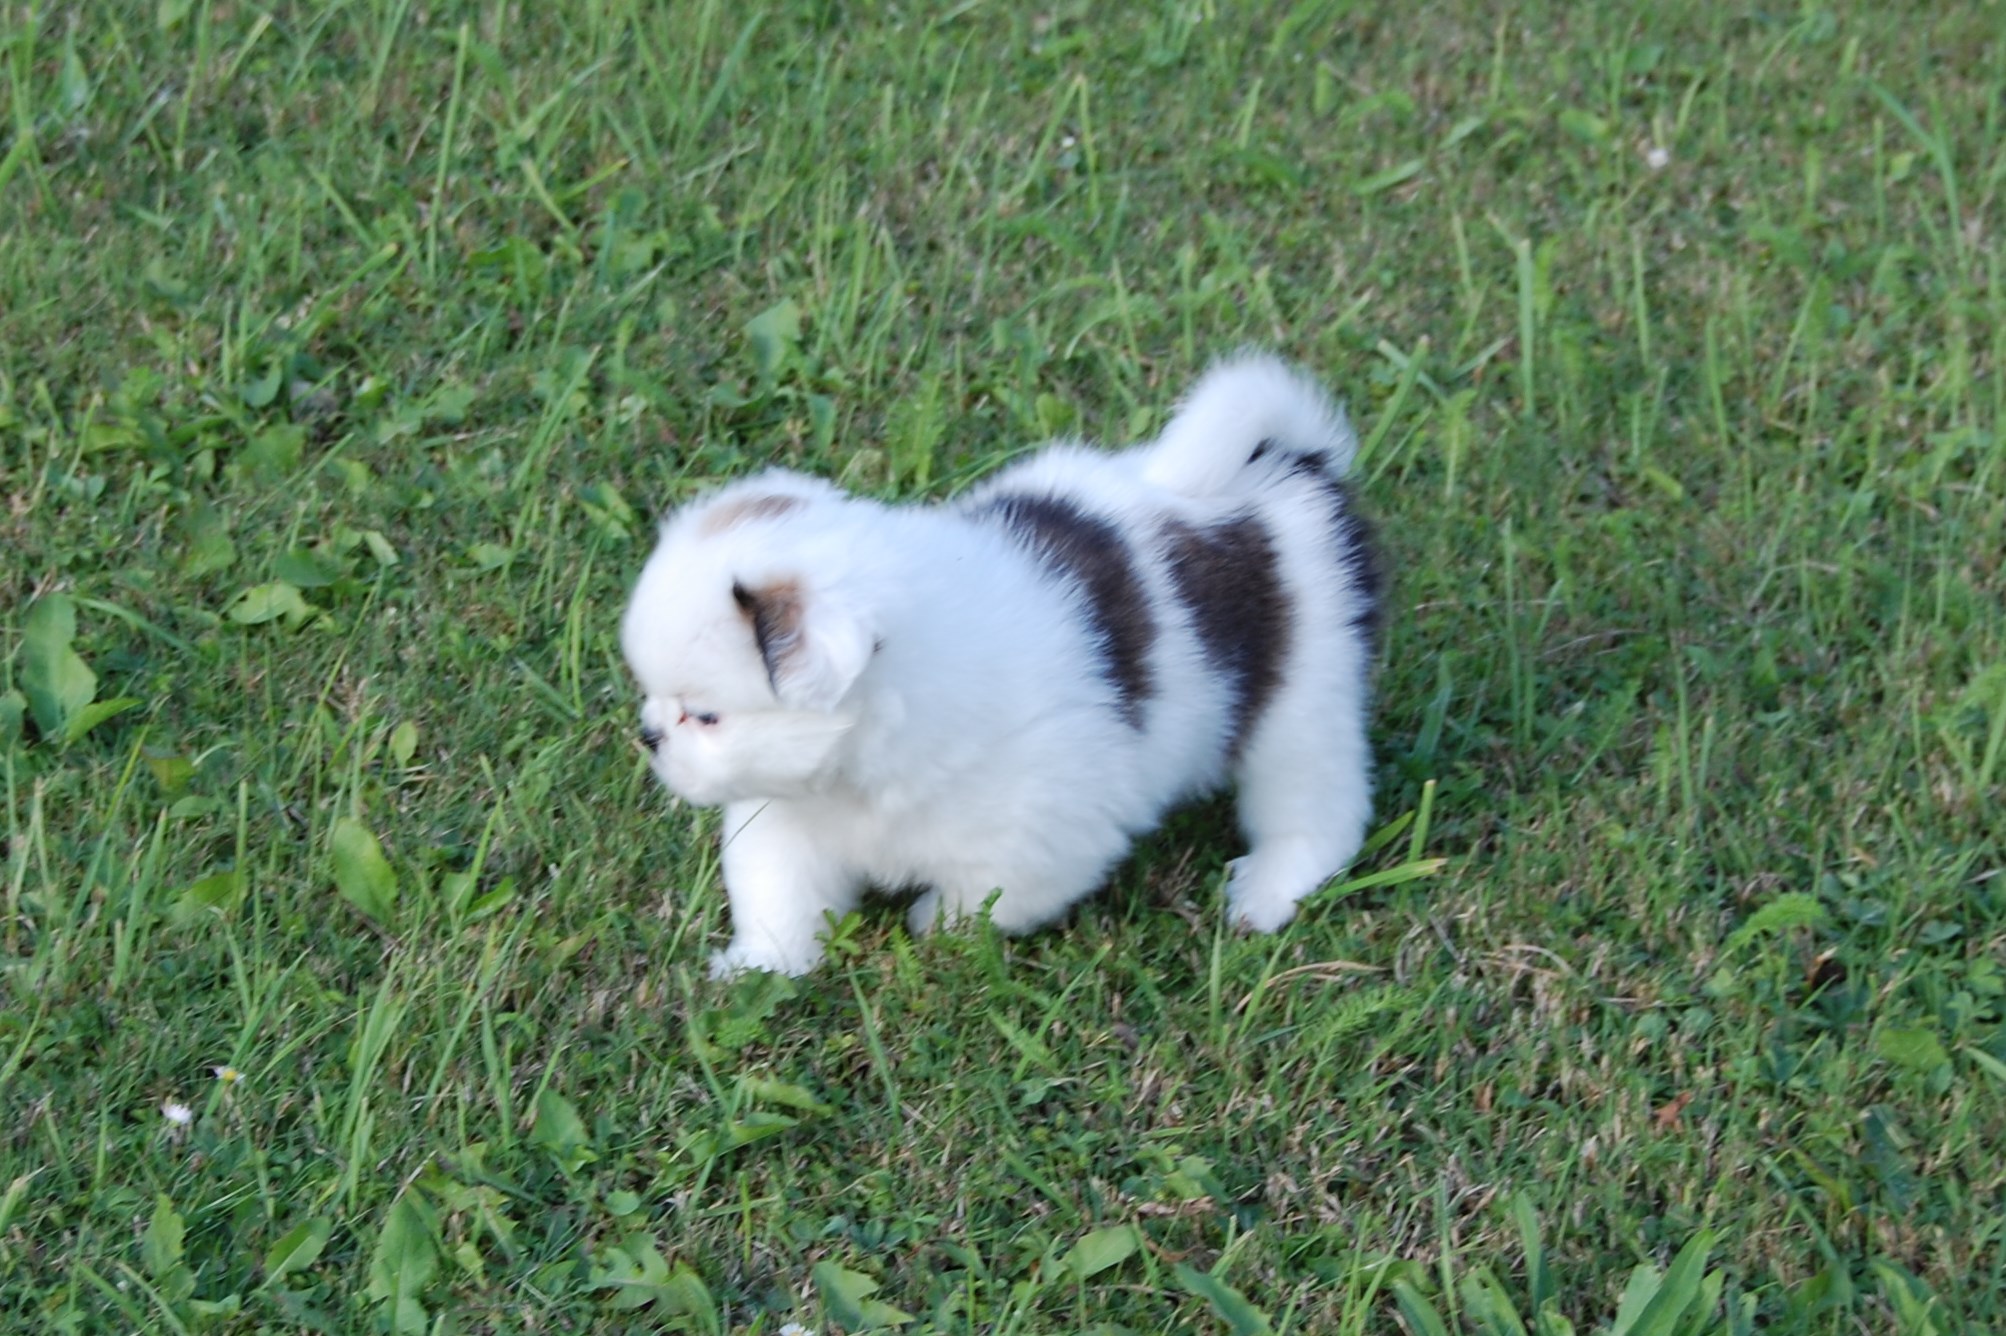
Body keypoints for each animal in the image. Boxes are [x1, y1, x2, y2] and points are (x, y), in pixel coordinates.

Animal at [621, 351, 1380, 978]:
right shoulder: (787, 817)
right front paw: (761, 968)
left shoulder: (1036, 839)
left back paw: (1271, 883)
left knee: (1315, 806)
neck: (865, 760)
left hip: (1307, 698)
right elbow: (779, 894)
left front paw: (932, 926)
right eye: (660, 703)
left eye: (706, 717)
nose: (649, 734)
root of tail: (1291, 461)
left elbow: (980, 900)